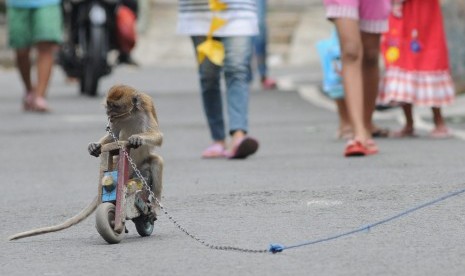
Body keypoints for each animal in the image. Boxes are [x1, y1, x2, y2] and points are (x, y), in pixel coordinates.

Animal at [7, 84, 164, 242]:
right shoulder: (114, 122)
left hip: (138, 166)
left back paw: (154, 207)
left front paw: (137, 138)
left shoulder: (145, 107)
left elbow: (158, 136)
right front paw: (94, 146)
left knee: (157, 162)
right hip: (120, 163)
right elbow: (112, 136)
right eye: (108, 106)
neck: (130, 115)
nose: (108, 112)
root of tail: (131, 171)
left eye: (115, 106)